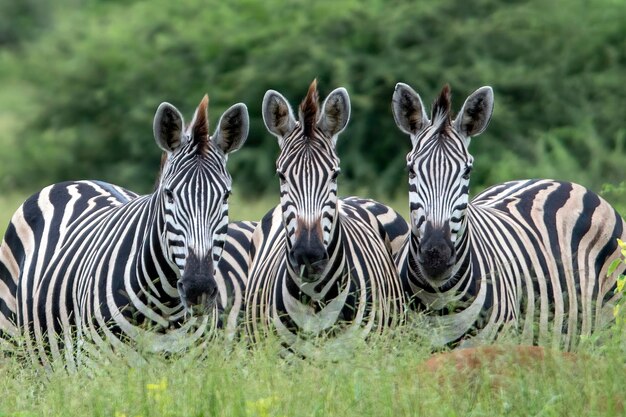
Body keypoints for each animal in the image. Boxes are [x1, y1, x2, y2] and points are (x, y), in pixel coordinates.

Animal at [0, 92, 249, 366]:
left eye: (226, 196)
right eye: (169, 194)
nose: (199, 289)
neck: (167, 307)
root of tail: (76, 181)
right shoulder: (97, 367)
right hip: (12, 346)